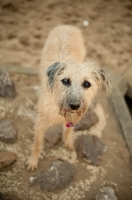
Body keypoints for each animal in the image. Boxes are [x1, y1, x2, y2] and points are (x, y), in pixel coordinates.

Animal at [26, 24, 110, 170]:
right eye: (65, 81)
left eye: (87, 84)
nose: (74, 105)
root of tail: (66, 26)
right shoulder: (40, 124)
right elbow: (37, 144)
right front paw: (33, 161)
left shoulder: (72, 120)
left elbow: (68, 131)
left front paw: (68, 142)